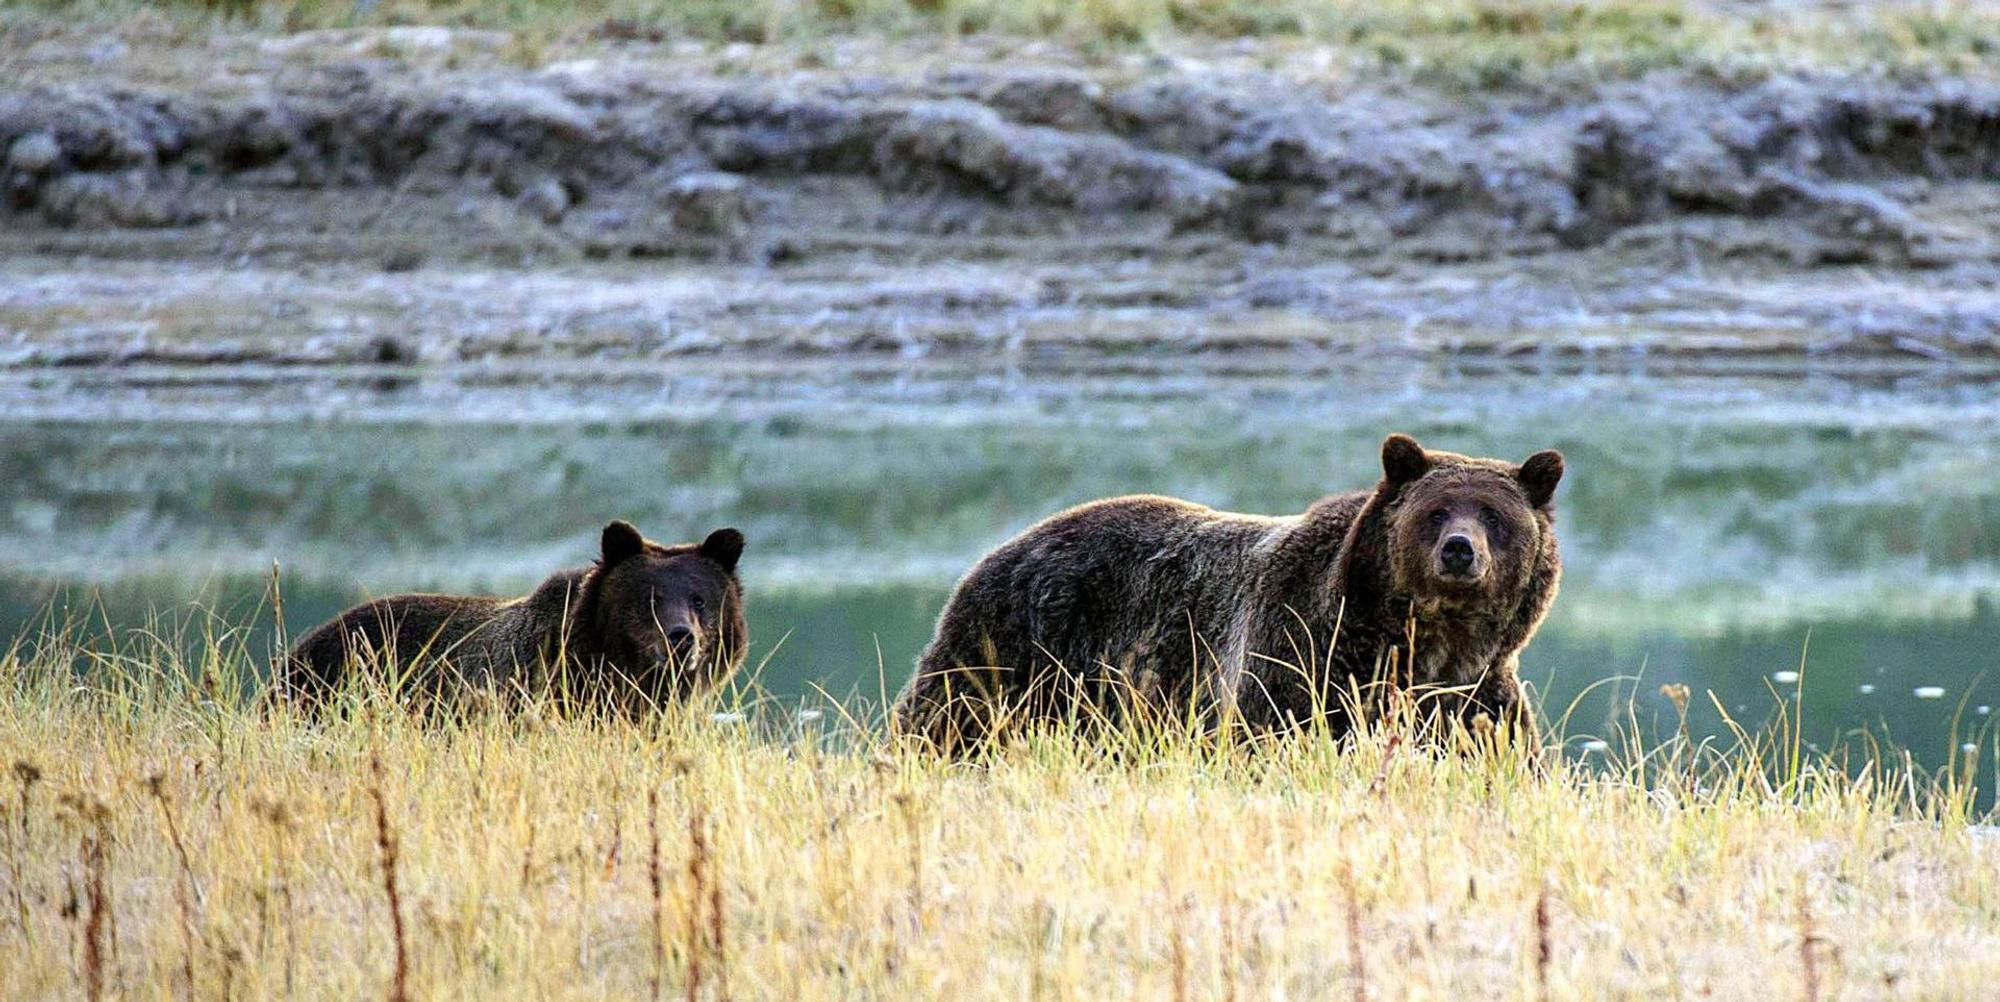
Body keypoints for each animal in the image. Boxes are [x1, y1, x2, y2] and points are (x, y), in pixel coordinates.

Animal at [892, 434, 1563, 753]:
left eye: (1494, 515)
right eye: (1436, 510)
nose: (1460, 550)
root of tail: (997, 550)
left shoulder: (1474, 696)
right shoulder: (1300, 659)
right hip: (1014, 651)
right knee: (946, 722)